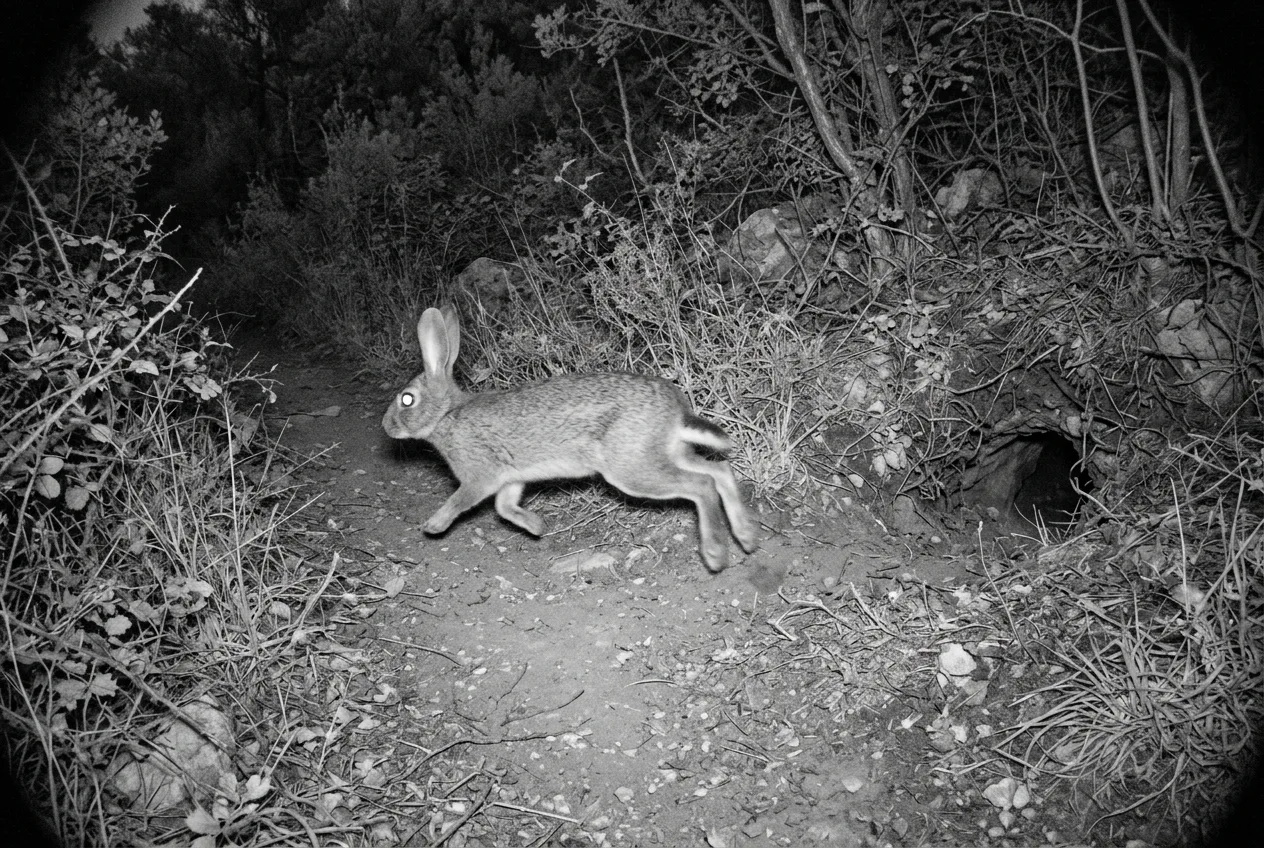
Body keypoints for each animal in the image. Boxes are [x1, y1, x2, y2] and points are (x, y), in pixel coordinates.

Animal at [382, 305, 760, 572]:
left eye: (407, 399)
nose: (386, 426)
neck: (446, 415)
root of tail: (675, 412)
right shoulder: (511, 479)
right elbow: (505, 508)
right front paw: (537, 527)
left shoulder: (480, 476)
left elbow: (461, 501)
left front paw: (433, 526)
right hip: (665, 454)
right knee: (719, 470)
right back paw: (746, 537)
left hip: (632, 469)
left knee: (701, 485)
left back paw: (715, 553)